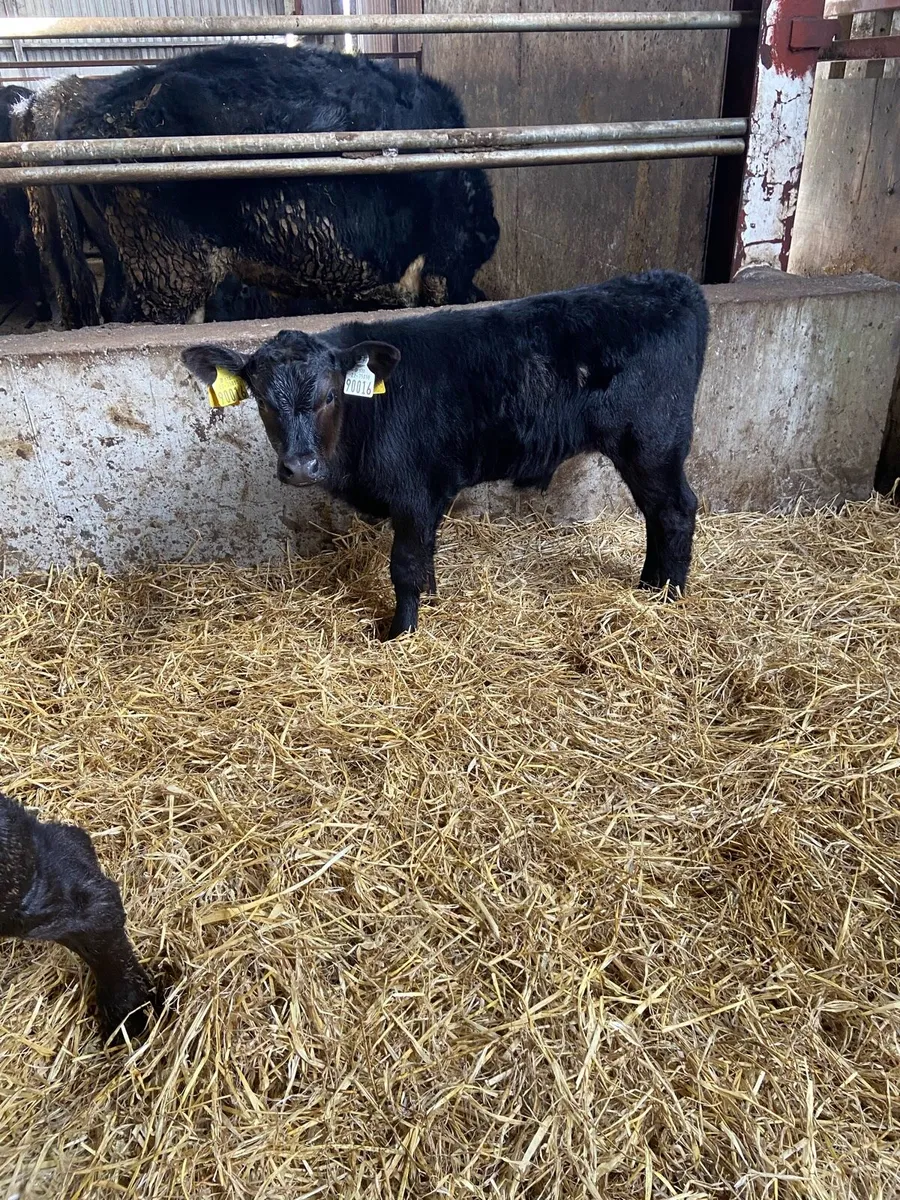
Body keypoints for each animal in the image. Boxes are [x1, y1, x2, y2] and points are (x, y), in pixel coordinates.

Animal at [183, 270, 708, 638]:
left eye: (331, 395)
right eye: (261, 400)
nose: (300, 466)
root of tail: (673, 284)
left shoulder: (414, 491)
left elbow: (406, 565)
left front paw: (400, 633)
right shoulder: (430, 494)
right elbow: (426, 559)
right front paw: (429, 606)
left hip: (652, 442)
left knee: (675, 510)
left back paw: (664, 594)